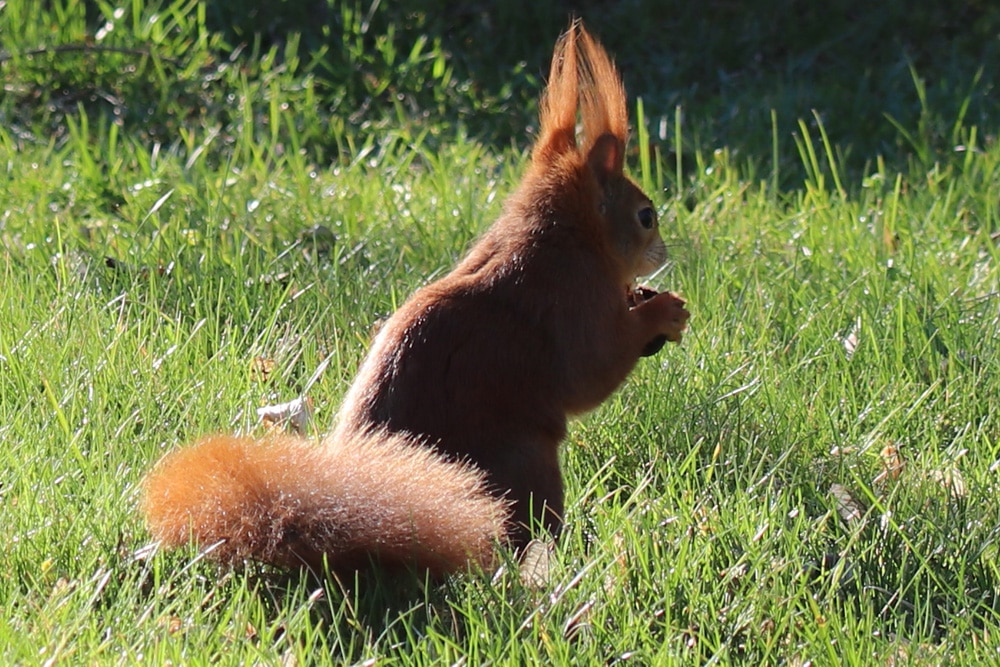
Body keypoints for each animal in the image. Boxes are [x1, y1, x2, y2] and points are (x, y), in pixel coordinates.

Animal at [143, 23, 688, 576]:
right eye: (646, 216)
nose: (663, 253)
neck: (560, 239)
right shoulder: (572, 305)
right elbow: (592, 372)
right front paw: (662, 312)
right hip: (530, 465)